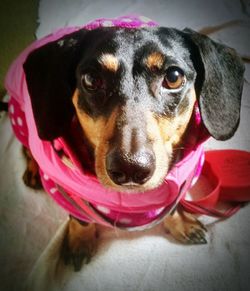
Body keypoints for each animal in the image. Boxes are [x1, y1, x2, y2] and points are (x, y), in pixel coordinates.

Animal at [19, 23, 244, 272]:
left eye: (173, 77)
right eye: (91, 79)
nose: (130, 169)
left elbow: (172, 206)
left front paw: (182, 224)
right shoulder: (68, 190)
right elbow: (80, 218)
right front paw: (80, 241)